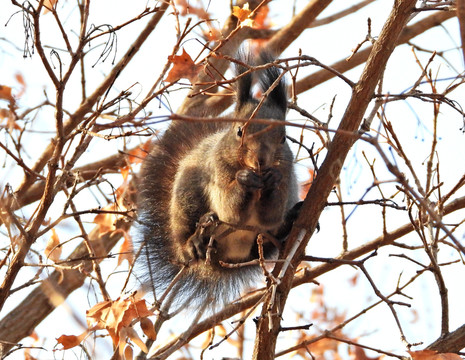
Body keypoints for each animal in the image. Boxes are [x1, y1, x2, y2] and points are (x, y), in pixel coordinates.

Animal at [136, 52, 300, 310]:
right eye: (239, 131)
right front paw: (243, 180)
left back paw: (290, 220)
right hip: (186, 199)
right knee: (187, 240)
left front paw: (271, 180)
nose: (261, 161)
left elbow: (270, 214)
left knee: (267, 237)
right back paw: (194, 241)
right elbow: (229, 209)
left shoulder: (286, 174)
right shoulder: (218, 170)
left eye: (283, 137)